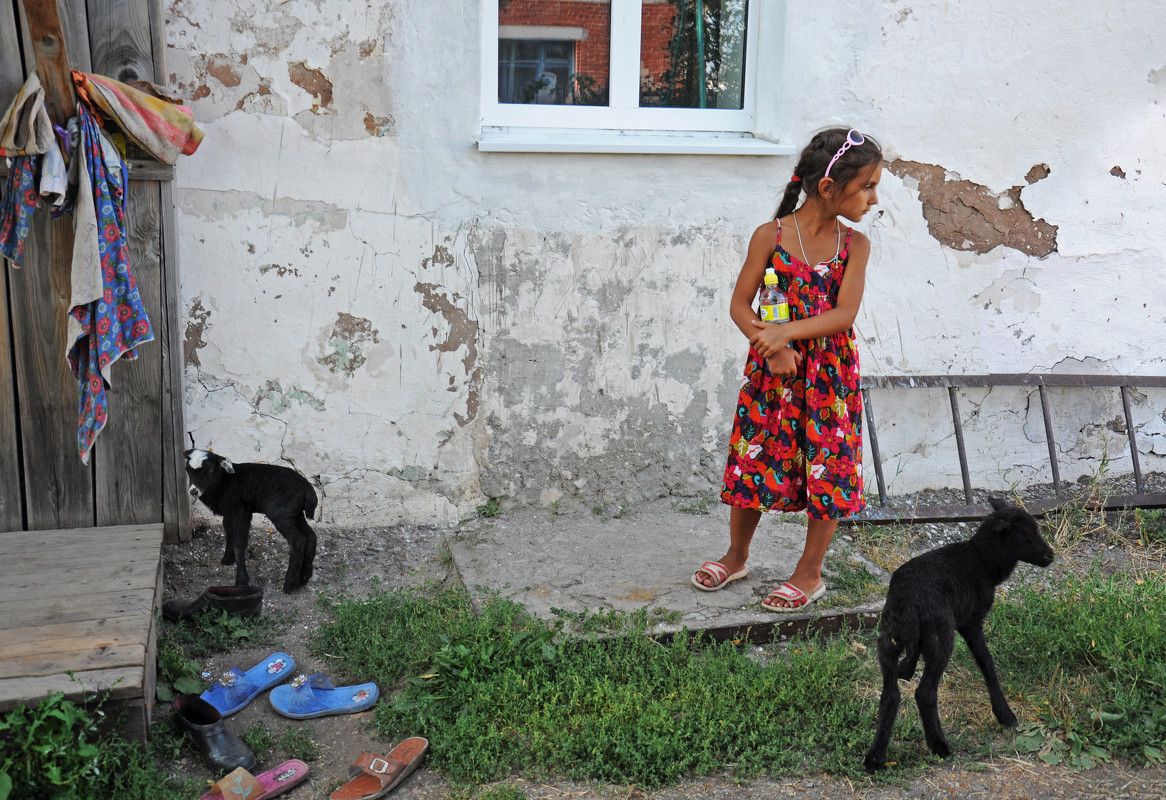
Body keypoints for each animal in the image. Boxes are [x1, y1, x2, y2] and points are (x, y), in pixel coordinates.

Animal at [862, 499, 1054, 774]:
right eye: (1026, 534)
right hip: (940, 638)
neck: (984, 560)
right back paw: (939, 746)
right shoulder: (971, 621)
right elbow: (986, 661)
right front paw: (1005, 715)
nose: (1050, 556)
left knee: (890, 695)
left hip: (888, 640)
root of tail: (908, 602)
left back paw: (875, 758)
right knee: (924, 693)